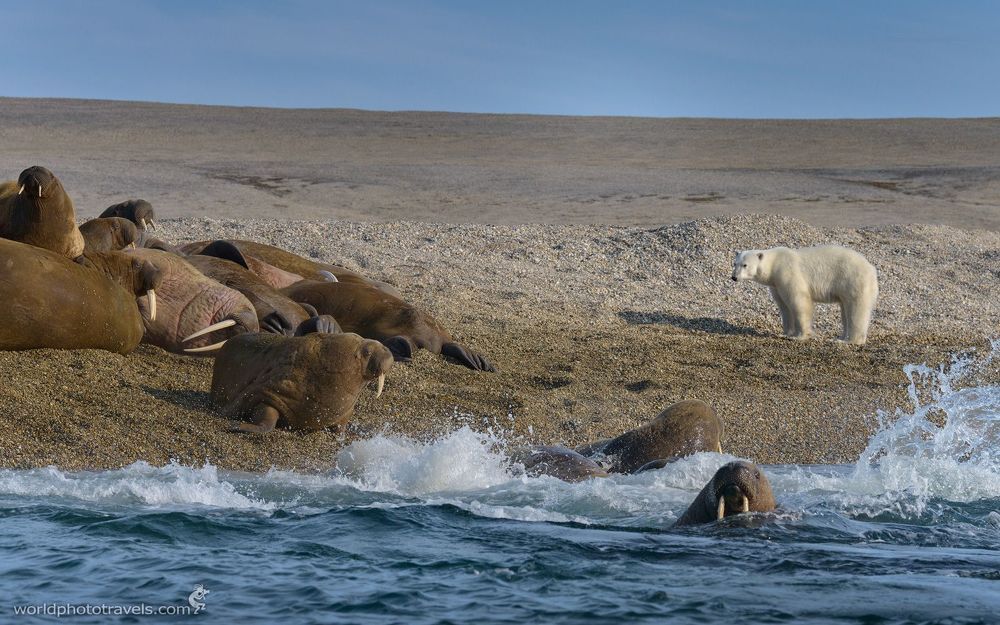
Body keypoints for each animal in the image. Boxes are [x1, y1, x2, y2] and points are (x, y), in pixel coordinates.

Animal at [731, 245, 878, 345]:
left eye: (745, 265)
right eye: (735, 263)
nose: (734, 277)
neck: (774, 264)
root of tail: (871, 269)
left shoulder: (787, 273)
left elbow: (798, 301)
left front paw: (800, 336)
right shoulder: (776, 285)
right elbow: (784, 307)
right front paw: (786, 333)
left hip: (853, 280)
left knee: (856, 310)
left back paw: (848, 341)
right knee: (845, 311)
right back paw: (840, 337)